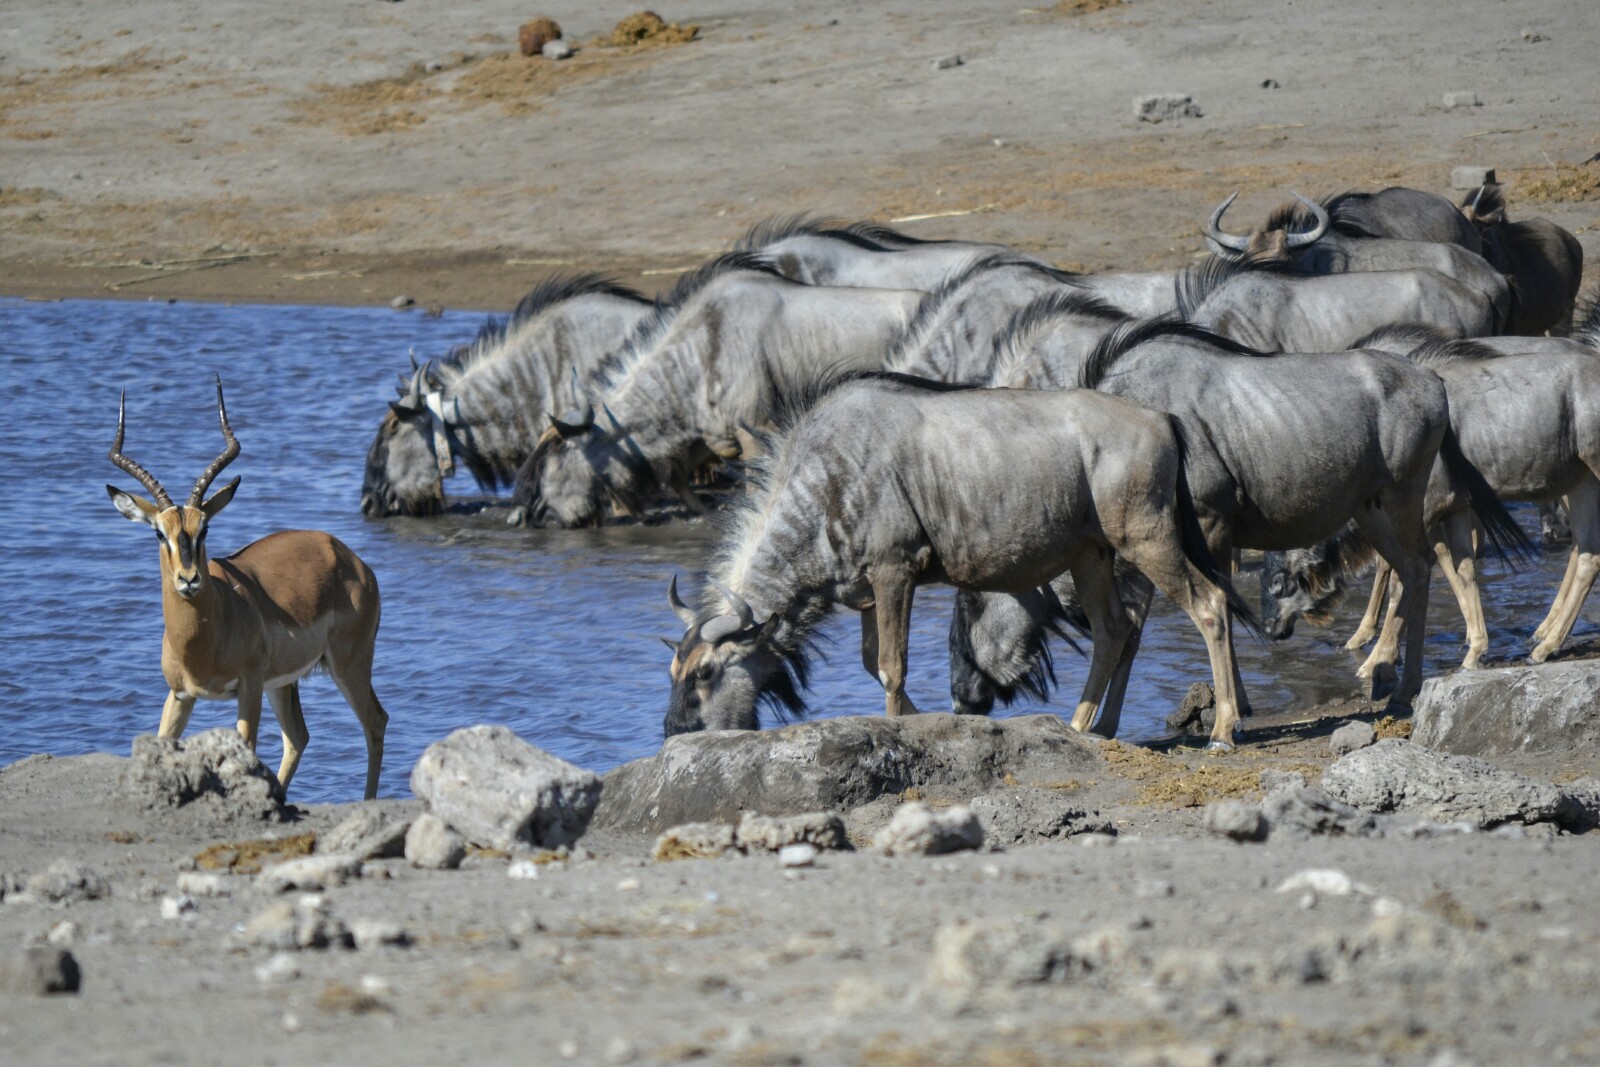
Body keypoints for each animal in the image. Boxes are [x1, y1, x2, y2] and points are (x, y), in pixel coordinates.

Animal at [106, 379, 388, 800]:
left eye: (204, 527)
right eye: (159, 532)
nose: (189, 579)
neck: (205, 637)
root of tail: (346, 555)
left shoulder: (249, 688)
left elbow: (247, 752)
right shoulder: (179, 695)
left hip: (348, 665)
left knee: (375, 722)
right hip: (286, 683)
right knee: (299, 737)